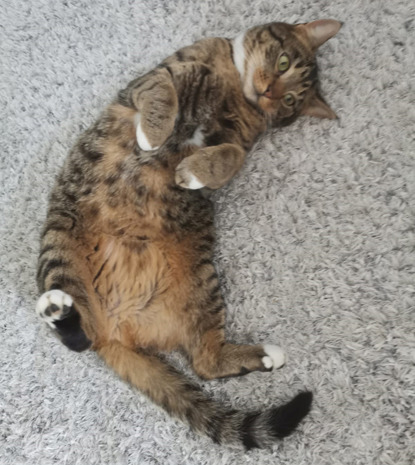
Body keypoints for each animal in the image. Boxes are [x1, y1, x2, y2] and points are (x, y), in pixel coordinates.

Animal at [35, 20, 342, 448]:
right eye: (283, 63)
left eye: (290, 99)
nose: (269, 92)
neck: (236, 88)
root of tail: (119, 328)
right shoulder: (160, 74)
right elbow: (166, 89)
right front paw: (154, 133)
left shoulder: (242, 140)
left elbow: (233, 156)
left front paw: (194, 172)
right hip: (61, 238)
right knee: (81, 339)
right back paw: (58, 308)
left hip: (202, 281)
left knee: (204, 362)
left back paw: (264, 355)